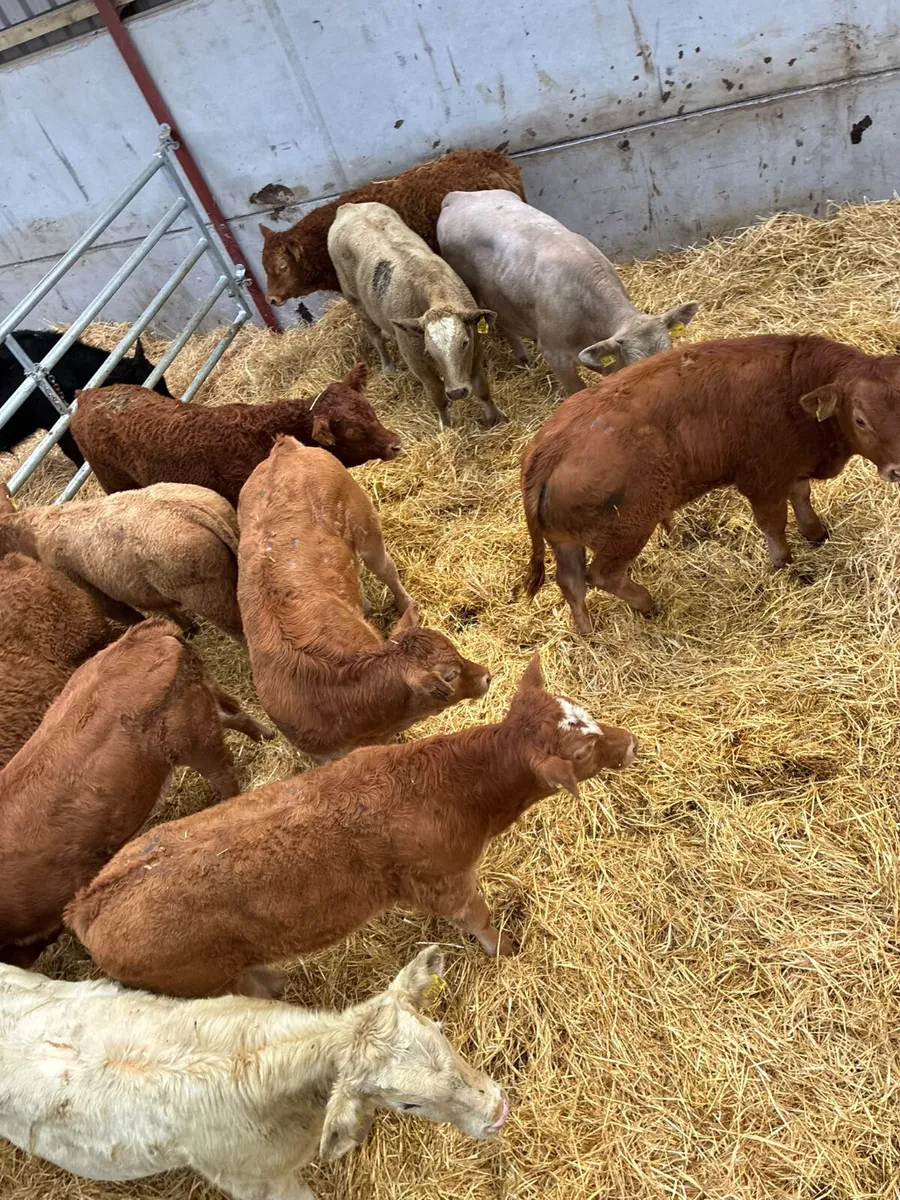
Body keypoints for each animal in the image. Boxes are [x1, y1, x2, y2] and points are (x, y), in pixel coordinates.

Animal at [0, 618, 272, 967]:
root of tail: (151, 633)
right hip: (205, 709)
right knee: (236, 715)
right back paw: (267, 736)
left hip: (194, 740)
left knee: (224, 770)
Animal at [66, 653, 636, 998]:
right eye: (580, 753)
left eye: (584, 710)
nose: (630, 743)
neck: (447, 786)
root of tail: (87, 904)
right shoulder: (447, 878)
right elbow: (479, 920)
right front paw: (507, 953)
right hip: (203, 982)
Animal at [328, 202, 504, 428]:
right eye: (429, 349)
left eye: (464, 342)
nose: (457, 392)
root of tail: (348, 207)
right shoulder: (417, 362)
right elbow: (437, 396)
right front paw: (446, 426)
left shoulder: (475, 350)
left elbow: (482, 389)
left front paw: (495, 418)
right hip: (357, 303)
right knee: (375, 337)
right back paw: (388, 365)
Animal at [521, 334, 900, 632]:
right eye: (860, 419)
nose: (897, 469)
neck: (793, 381)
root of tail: (547, 448)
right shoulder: (763, 480)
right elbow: (774, 525)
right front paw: (785, 563)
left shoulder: (791, 467)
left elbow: (801, 496)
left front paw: (815, 532)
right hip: (629, 529)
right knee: (601, 575)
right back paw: (647, 603)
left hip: (566, 541)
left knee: (571, 582)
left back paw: (588, 632)